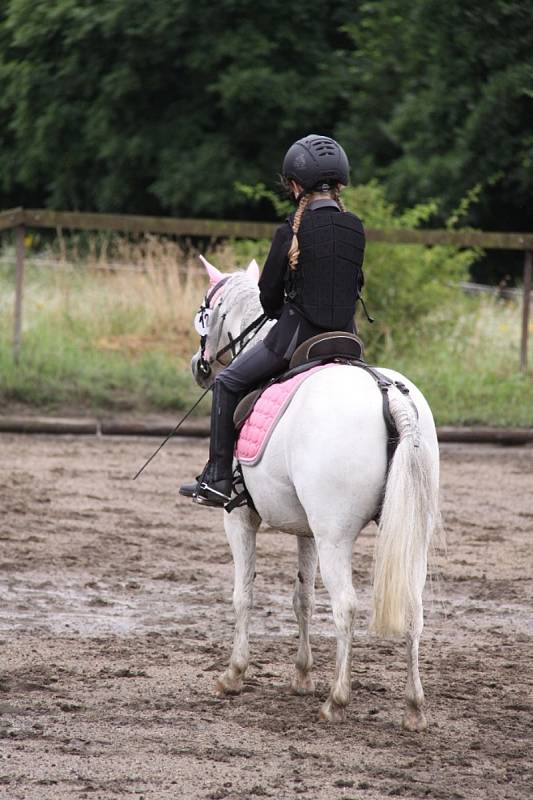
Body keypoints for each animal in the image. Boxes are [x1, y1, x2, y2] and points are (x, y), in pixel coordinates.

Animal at [189, 258, 438, 732]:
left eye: (205, 312)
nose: (200, 365)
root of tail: (388, 395)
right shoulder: (306, 531)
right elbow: (301, 598)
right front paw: (302, 676)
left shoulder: (239, 518)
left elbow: (243, 594)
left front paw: (233, 675)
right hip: (409, 534)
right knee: (415, 608)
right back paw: (414, 706)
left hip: (335, 537)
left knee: (346, 607)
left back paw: (337, 701)